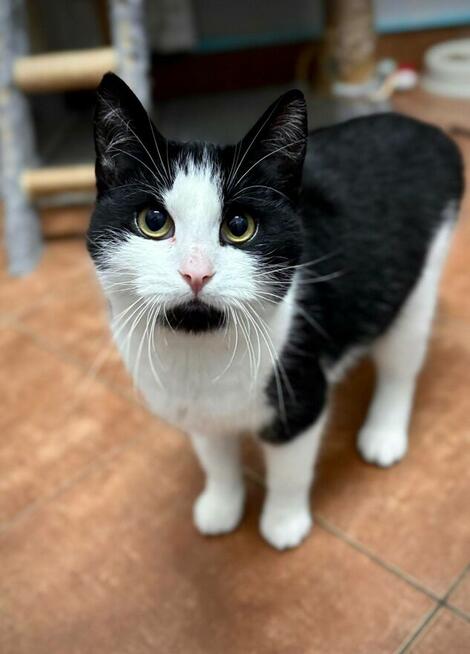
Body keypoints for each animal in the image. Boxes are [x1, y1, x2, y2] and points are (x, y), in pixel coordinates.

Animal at [88, 73, 463, 550]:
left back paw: (384, 434)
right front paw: (221, 506)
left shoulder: (299, 391)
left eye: (239, 226)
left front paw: (284, 523)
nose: (196, 272)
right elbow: (215, 457)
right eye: (153, 221)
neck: (200, 351)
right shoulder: (195, 410)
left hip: (420, 280)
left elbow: (290, 467)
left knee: (401, 362)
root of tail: (428, 130)